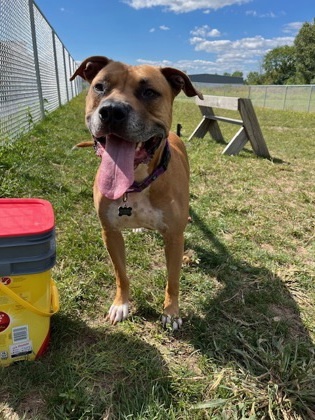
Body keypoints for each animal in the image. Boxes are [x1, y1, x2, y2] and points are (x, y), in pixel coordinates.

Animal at [70, 56, 202, 332]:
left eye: (149, 92)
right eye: (100, 87)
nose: (111, 111)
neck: (136, 184)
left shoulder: (174, 238)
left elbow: (173, 280)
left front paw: (171, 312)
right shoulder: (110, 232)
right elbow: (121, 274)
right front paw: (121, 305)